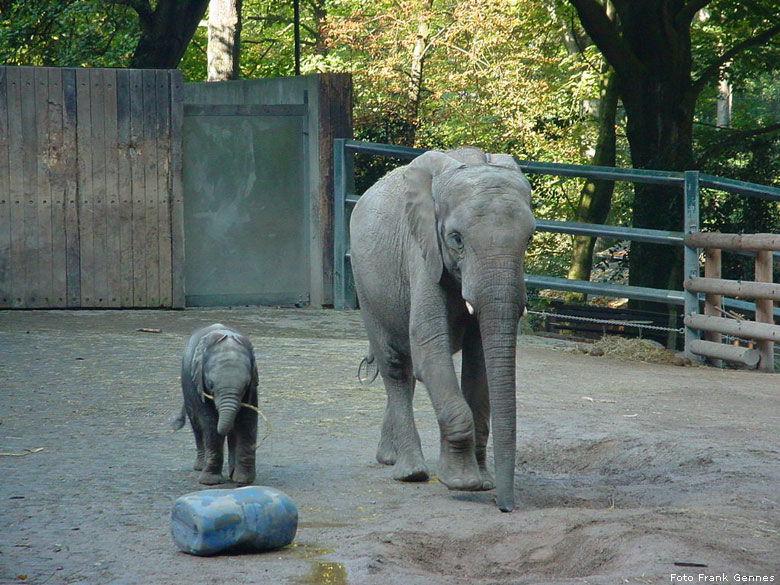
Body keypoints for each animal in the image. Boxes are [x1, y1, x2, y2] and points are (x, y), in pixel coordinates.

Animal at [171, 324, 258, 484]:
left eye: (245, 385)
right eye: (210, 385)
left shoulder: (253, 388)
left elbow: (247, 420)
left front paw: (243, 480)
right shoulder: (198, 385)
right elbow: (210, 422)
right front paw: (210, 482)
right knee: (198, 426)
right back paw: (200, 467)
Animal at [350, 147, 532, 512]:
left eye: (529, 239)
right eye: (456, 239)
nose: (505, 506)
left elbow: (480, 362)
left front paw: (483, 481)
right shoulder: (422, 252)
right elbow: (429, 346)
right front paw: (461, 481)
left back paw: (388, 458)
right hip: (365, 284)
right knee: (395, 366)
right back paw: (410, 472)